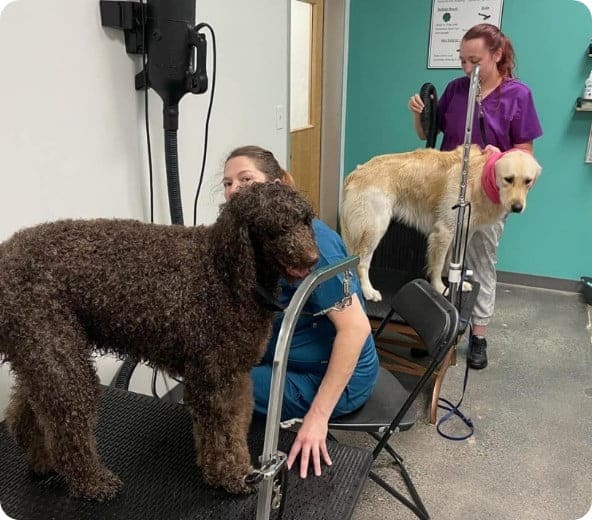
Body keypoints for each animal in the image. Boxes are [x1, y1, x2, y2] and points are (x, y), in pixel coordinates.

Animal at [0, 182, 320, 500]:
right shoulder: (214, 381)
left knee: (27, 415)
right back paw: (91, 482)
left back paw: (43, 460)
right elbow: (223, 433)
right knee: (68, 423)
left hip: (43, 354)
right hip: (57, 353)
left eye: (305, 220)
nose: (313, 258)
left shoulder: (235, 375)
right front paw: (230, 474)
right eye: (276, 227)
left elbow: (236, 424)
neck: (224, 272)